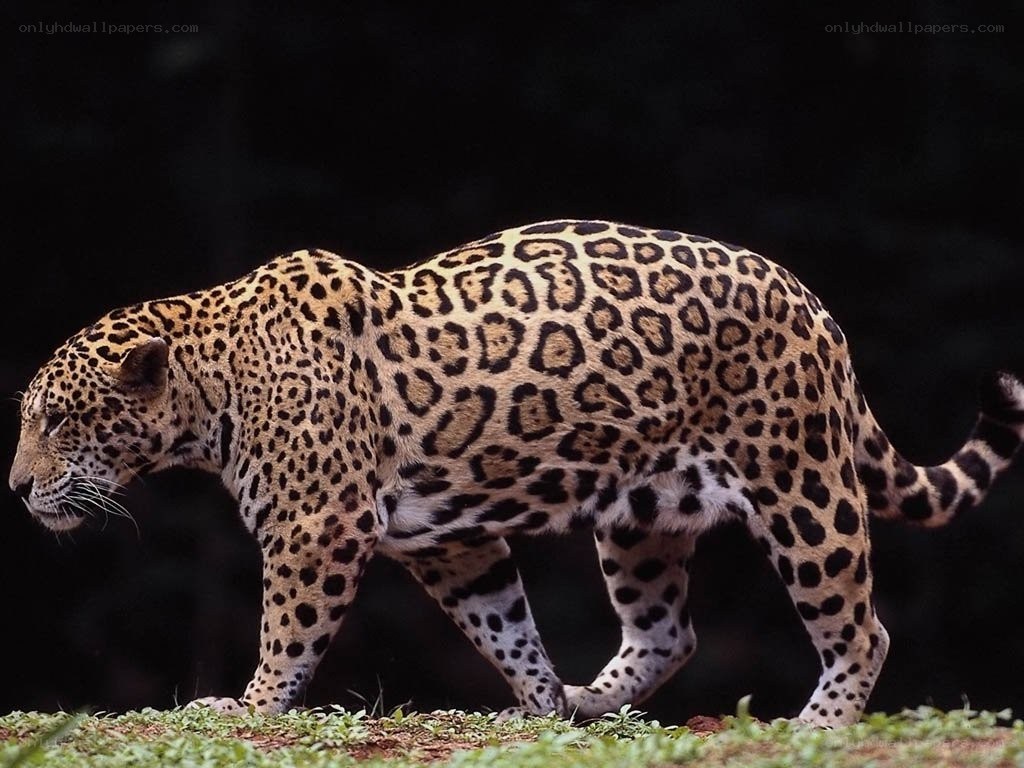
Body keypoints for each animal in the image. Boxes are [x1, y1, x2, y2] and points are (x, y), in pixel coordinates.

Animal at [10, 220, 1024, 727]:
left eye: (57, 420)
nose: (16, 488)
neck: (210, 386)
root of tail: (816, 305)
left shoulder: (319, 527)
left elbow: (288, 634)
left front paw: (246, 707)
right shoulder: (451, 544)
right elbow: (505, 628)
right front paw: (536, 704)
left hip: (801, 485)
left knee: (862, 628)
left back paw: (819, 725)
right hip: (642, 518)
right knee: (669, 631)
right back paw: (589, 699)